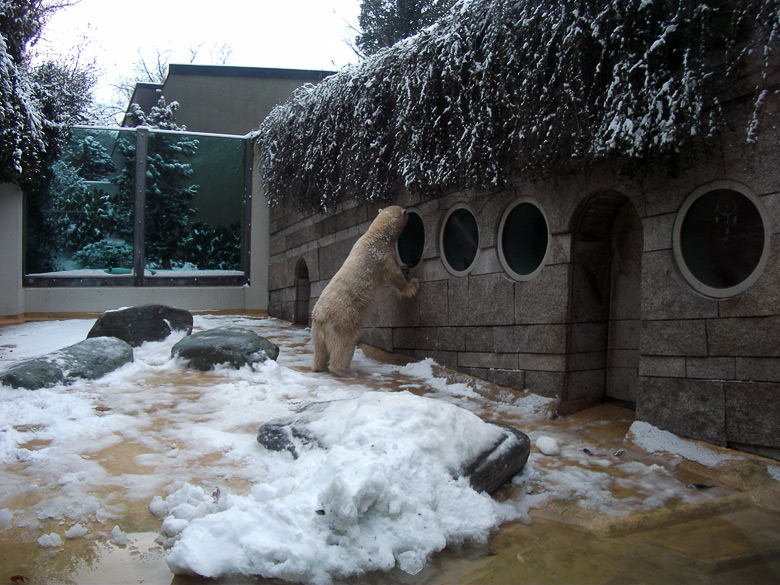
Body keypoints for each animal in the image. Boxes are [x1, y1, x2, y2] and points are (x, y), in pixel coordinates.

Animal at [310, 205, 420, 376]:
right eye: (406, 212)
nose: (408, 212)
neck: (375, 235)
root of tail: (319, 315)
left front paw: (404, 268)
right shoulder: (381, 256)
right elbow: (394, 277)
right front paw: (413, 285)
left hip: (316, 329)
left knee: (320, 349)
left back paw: (319, 366)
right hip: (343, 317)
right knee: (346, 341)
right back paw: (345, 371)